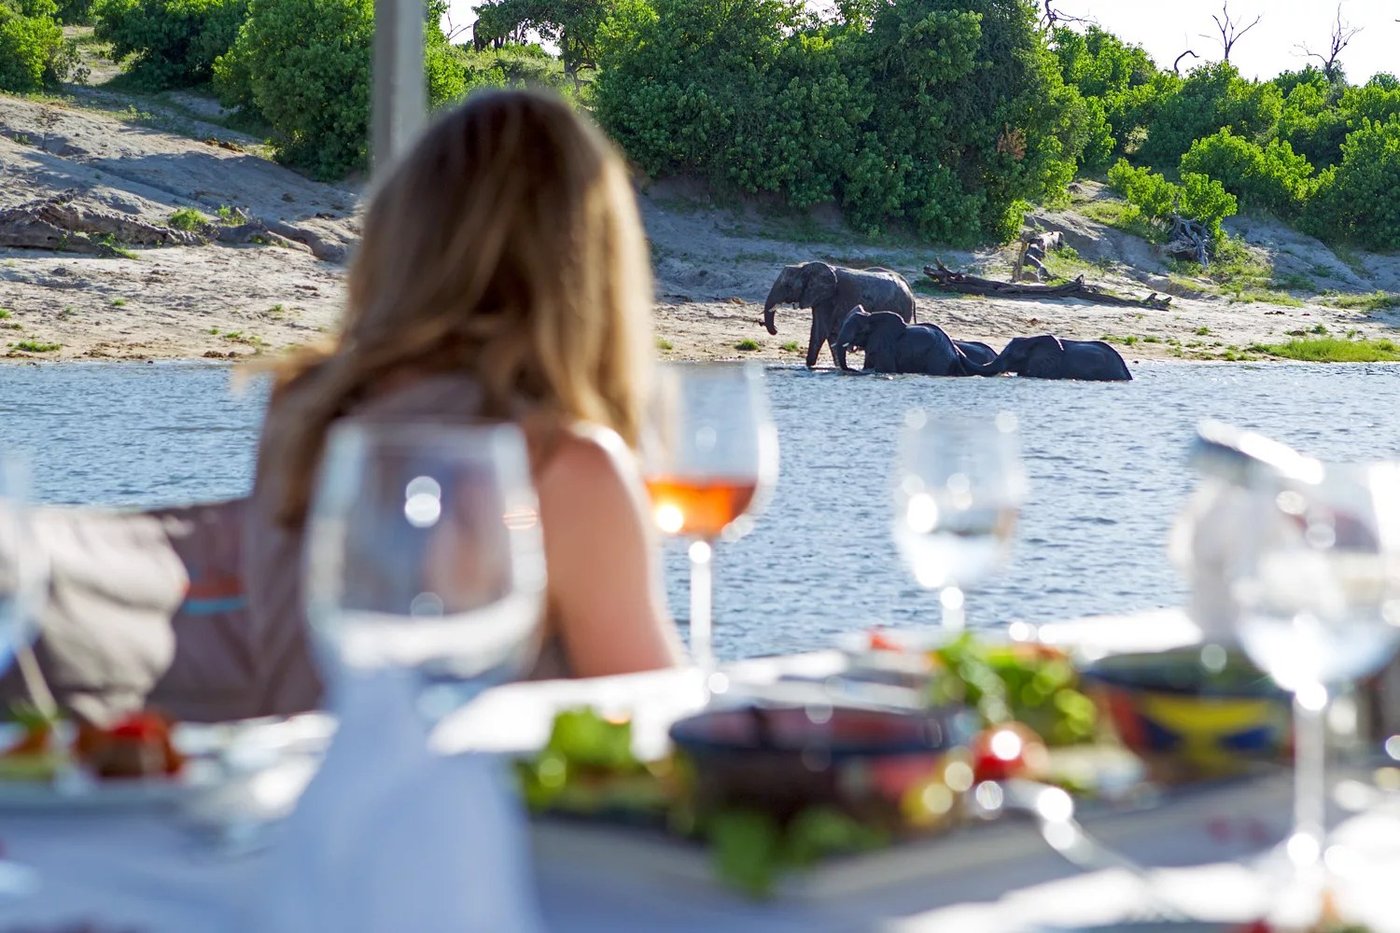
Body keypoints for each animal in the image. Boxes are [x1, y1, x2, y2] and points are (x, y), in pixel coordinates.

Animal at [762, 262, 915, 369]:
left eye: (787, 286)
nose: (776, 329)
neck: (806, 266)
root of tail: (909, 288)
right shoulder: (821, 299)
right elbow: (829, 333)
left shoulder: (829, 298)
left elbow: (820, 332)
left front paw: (810, 366)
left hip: (903, 306)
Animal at [833, 307, 988, 377]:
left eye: (859, 330)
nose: (852, 370)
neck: (871, 316)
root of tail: (955, 351)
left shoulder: (885, 346)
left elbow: (886, 369)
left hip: (939, 358)